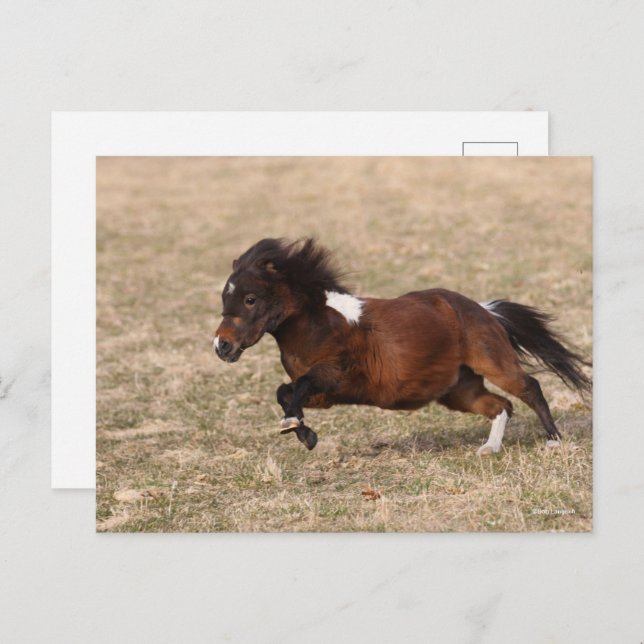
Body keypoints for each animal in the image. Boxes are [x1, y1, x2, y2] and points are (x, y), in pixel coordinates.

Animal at [213, 238, 591, 455]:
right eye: (224, 298)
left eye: (250, 298)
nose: (221, 346)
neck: (318, 324)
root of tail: (483, 309)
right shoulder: (326, 396)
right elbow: (285, 391)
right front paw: (303, 432)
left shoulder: (336, 375)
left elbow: (297, 387)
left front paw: (296, 427)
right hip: (459, 391)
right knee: (501, 406)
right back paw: (489, 448)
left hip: (492, 362)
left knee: (530, 388)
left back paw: (553, 441)